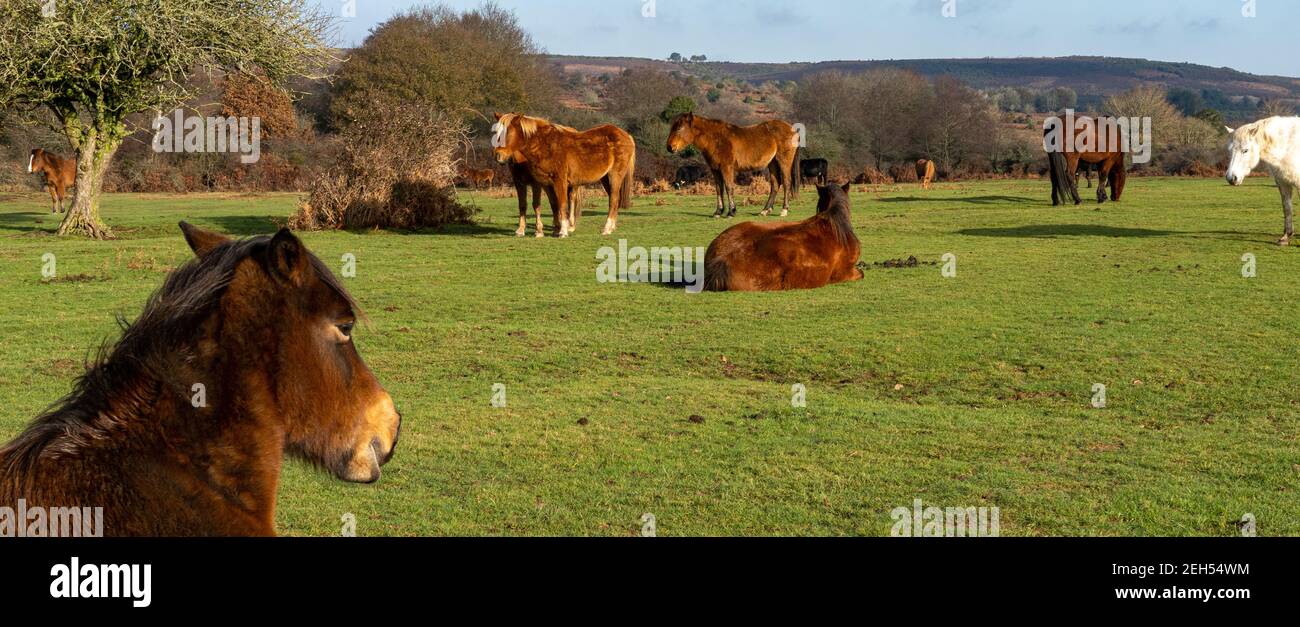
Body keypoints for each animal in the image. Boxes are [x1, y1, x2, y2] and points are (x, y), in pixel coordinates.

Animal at [493, 112, 635, 237]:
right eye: (496, 132)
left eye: (507, 132)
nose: (498, 156)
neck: (546, 145)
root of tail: (626, 135)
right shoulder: (546, 184)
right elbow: (554, 205)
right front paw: (555, 229)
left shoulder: (559, 181)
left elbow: (561, 205)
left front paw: (563, 231)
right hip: (605, 178)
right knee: (614, 199)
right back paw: (611, 227)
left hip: (614, 176)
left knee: (613, 200)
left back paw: (606, 229)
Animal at [666, 113, 801, 218]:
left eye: (679, 129)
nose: (669, 147)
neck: (716, 139)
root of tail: (793, 130)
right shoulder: (715, 170)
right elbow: (719, 189)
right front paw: (718, 212)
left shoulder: (727, 168)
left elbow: (729, 187)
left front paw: (731, 212)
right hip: (772, 163)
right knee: (775, 184)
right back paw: (765, 210)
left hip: (784, 161)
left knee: (787, 182)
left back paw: (784, 210)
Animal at [1226, 116, 1300, 246]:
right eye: (1230, 151)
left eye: (1245, 150)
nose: (1231, 178)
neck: (1288, 147)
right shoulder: (1283, 182)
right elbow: (1287, 208)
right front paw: (1285, 237)